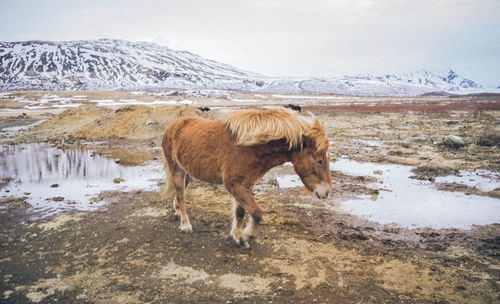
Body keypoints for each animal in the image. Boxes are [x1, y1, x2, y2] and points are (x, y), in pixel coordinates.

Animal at [161, 108, 332, 248]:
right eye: (318, 160)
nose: (326, 192)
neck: (248, 148)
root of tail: (173, 125)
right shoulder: (234, 185)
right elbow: (256, 212)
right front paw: (245, 237)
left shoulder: (245, 184)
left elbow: (240, 212)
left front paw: (237, 236)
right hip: (176, 169)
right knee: (181, 195)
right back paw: (185, 225)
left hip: (187, 172)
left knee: (180, 192)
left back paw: (177, 211)